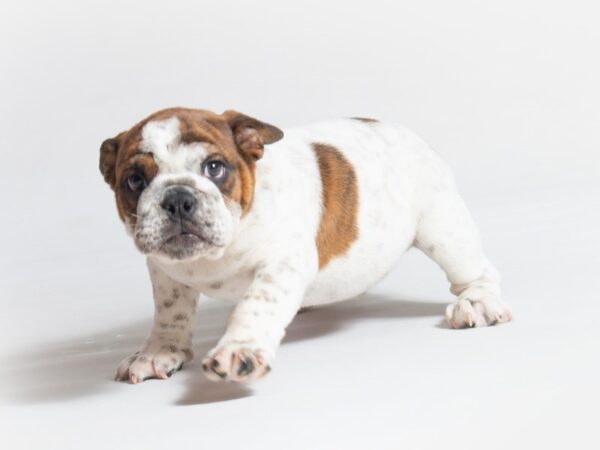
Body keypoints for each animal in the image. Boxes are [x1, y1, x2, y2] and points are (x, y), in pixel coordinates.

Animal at [98, 108, 510, 384]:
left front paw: (239, 350)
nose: (178, 198)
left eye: (214, 168)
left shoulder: (281, 264)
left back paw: (476, 302)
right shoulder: (164, 270)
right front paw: (158, 352)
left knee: (478, 273)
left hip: (443, 229)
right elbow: (171, 313)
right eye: (135, 180)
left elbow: (256, 305)